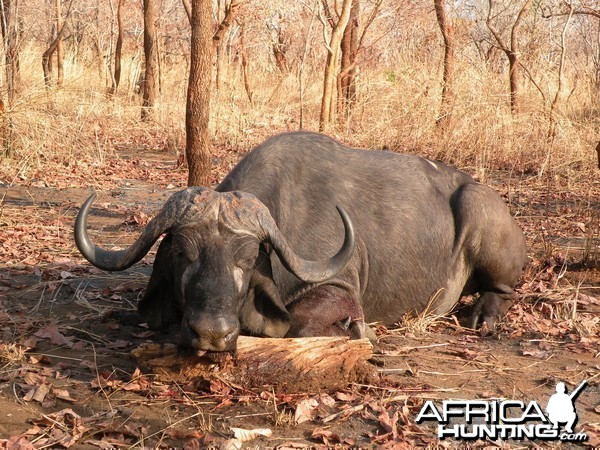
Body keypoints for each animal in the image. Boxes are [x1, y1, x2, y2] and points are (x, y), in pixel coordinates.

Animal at [75, 132, 524, 354]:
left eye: (247, 259)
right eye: (184, 255)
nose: (212, 334)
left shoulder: (339, 288)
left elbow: (300, 326)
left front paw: (357, 332)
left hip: (478, 210)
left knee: (503, 290)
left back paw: (483, 315)